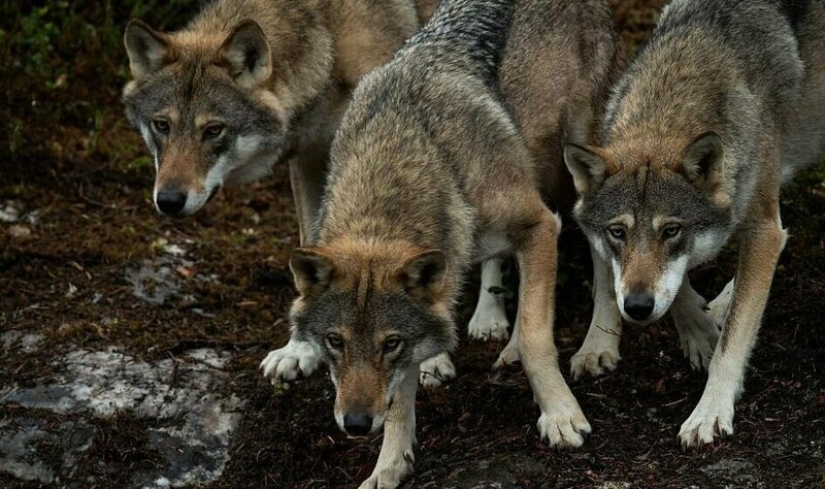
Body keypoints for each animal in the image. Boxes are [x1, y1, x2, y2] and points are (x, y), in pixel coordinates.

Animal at [122, 0, 526, 387]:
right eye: (162, 126)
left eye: (214, 130)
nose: (168, 201)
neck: (328, 37)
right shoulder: (312, 160)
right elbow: (314, 246)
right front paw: (299, 349)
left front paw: (432, 359)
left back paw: (490, 319)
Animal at [262, 0, 619, 485]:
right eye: (335, 342)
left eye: (389, 344)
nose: (355, 424)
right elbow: (399, 401)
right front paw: (389, 466)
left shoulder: (541, 225)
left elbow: (535, 338)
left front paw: (561, 415)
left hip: (581, 159)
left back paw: (598, 346)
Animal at [564, 0, 825, 447]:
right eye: (618, 232)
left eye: (671, 230)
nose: (636, 309)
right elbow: (675, 287)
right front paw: (699, 332)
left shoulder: (762, 227)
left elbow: (733, 339)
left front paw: (710, 412)